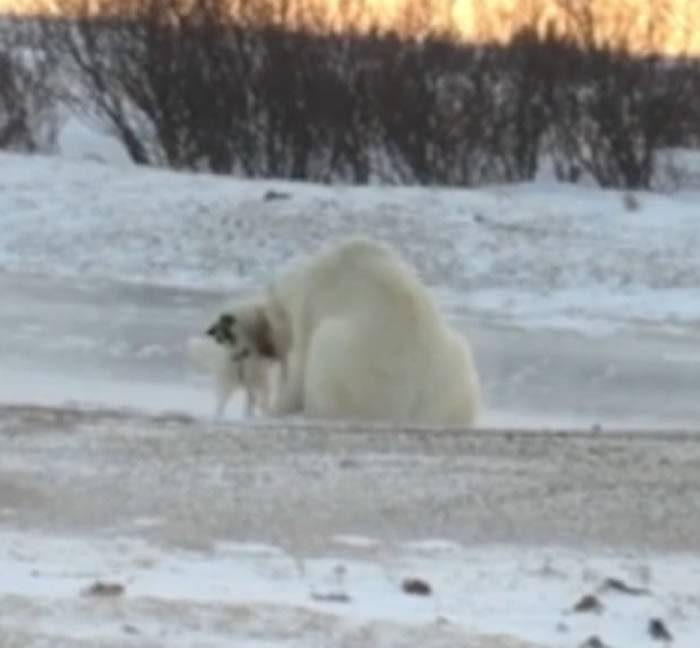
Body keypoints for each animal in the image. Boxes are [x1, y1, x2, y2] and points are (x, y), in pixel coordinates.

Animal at [212, 238, 482, 426]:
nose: (269, 349)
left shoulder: (310, 307)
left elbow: (300, 368)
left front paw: (273, 410)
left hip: (356, 364)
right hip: (456, 369)